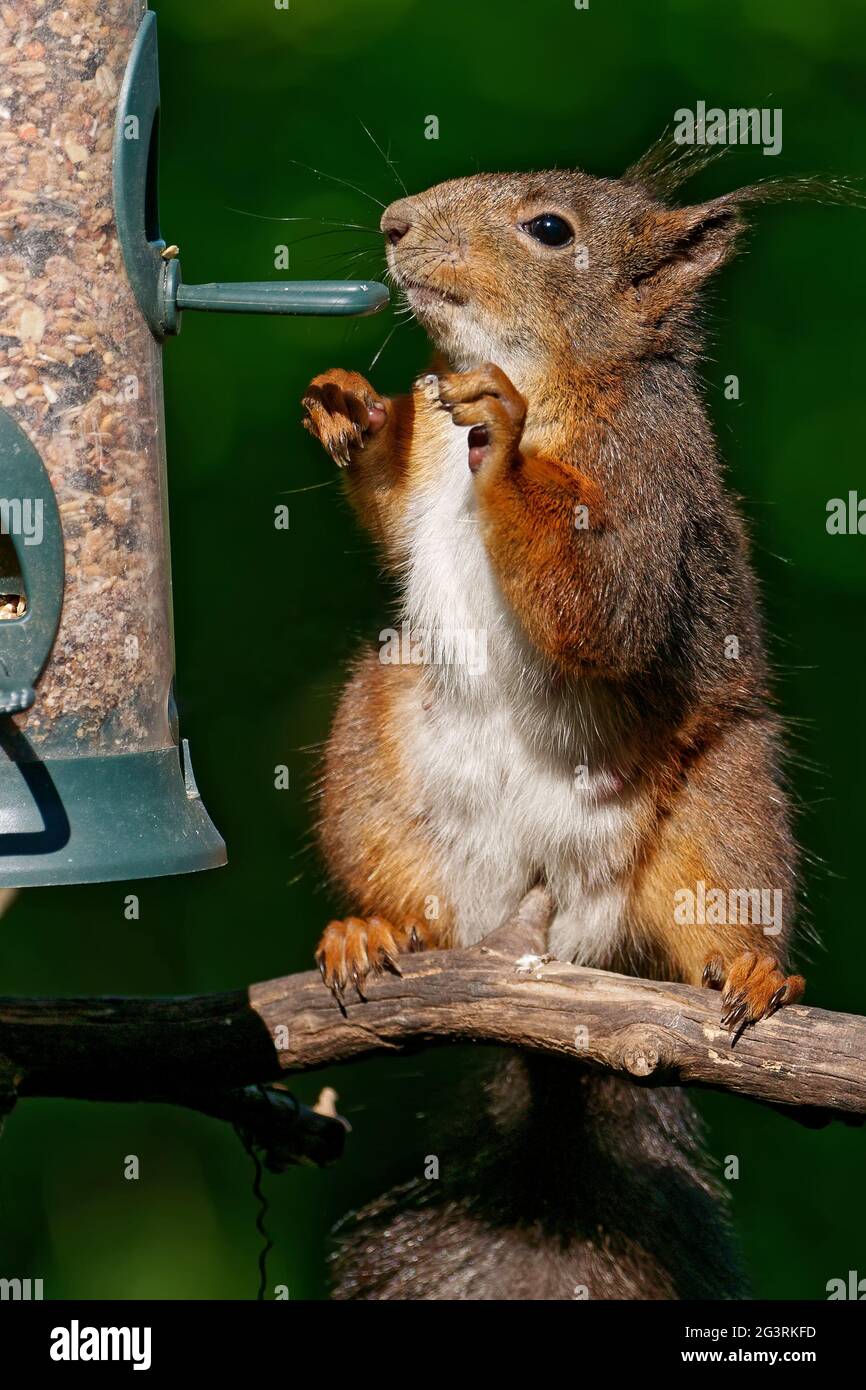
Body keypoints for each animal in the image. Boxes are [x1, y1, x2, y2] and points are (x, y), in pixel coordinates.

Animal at [299, 134, 835, 1300]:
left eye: (550, 230)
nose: (395, 223)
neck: (545, 370)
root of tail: (549, 947)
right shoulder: (425, 468)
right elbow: (394, 504)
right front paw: (352, 409)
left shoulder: (644, 481)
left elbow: (603, 607)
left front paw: (499, 439)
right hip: (376, 746)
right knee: (415, 896)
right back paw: (375, 927)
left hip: (720, 802)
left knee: (716, 902)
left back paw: (753, 966)